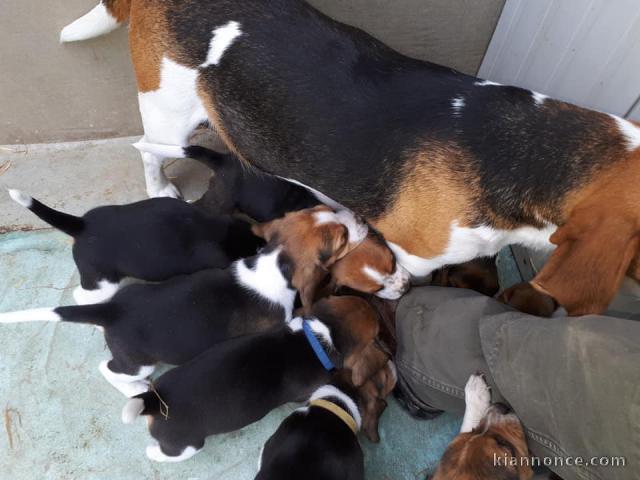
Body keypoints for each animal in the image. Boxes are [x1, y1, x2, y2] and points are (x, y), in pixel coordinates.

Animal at [122, 294, 388, 464]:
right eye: (376, 330)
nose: (378, 309)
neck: (320, 336)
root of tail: (153, 401)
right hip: (187, 444)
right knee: (169, 452)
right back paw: (152, 452)